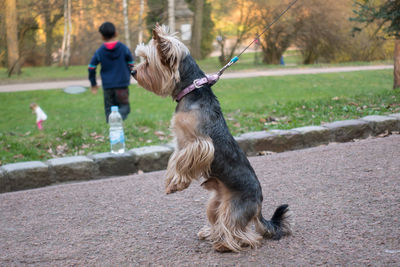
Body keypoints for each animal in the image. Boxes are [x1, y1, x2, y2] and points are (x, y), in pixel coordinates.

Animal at [133, 24, 292, 253]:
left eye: (147, 61)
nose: (132, 71)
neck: (192, 89)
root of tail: (259, 204)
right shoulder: (181, 143)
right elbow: (175, 161)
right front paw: (172, 182)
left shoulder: (200, 143)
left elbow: (183, 161)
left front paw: (178, 184)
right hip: (215, 202)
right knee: (220, 221)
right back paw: (211, 233)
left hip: (233, 206)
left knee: (241, 230)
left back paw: (226, 244)